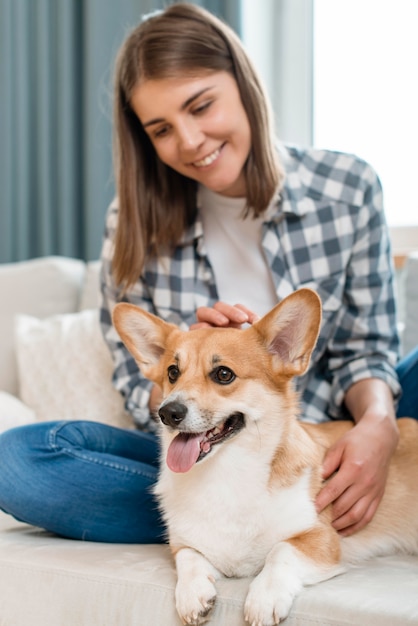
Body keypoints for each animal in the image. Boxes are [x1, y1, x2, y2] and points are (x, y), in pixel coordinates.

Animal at [113, 288, 418, 624]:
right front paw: (193, 594)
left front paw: (264, 597)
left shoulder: (321, 539)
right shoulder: (181, 543)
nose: (168, 412)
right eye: (172, 372)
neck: (226, 475)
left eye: (223, 374)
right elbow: (190, 558)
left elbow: (280, 551)